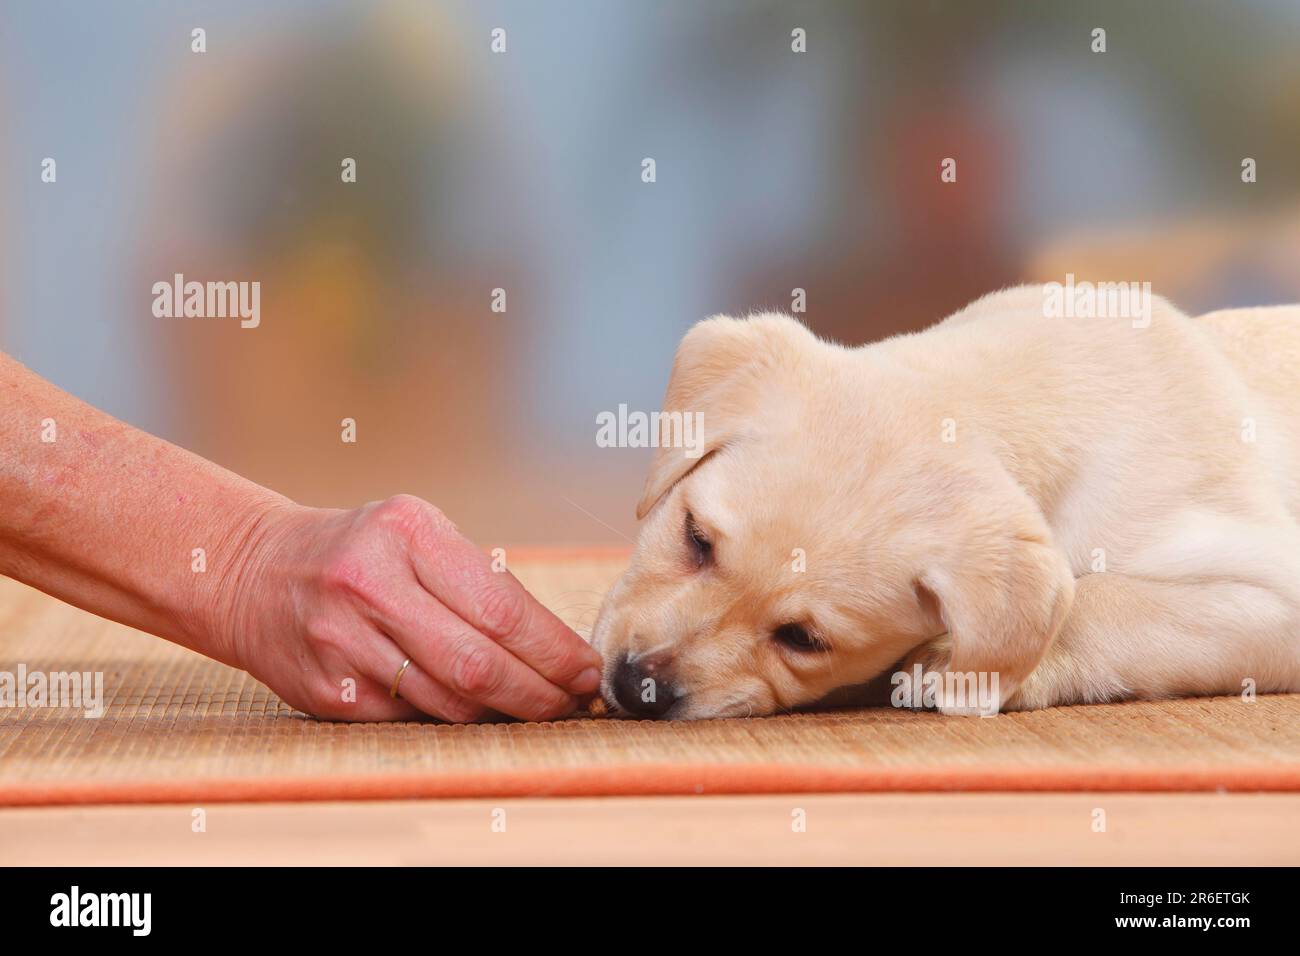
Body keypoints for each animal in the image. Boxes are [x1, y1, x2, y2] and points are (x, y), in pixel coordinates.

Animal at [590, 287, 1300, 723]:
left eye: (803, 639)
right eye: (695, 537)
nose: (634, 685)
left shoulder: (1271, 587)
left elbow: (1102, 599)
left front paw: (951, 666)